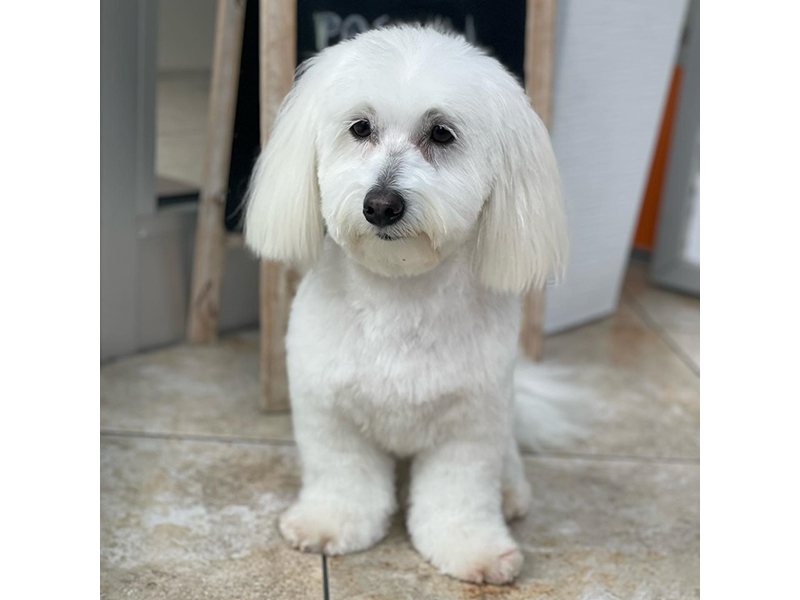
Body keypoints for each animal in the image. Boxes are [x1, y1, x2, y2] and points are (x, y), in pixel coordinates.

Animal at [244, 25, 568, 585]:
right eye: (360, 127)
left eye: (442, 134)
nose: (381, 204)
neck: (399, 293)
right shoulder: (328, 410)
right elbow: (342, 475)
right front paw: (330, 523)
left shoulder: (469, 425)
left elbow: (459, 495)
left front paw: (473, 549)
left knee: (507, 458)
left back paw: (510, 492)